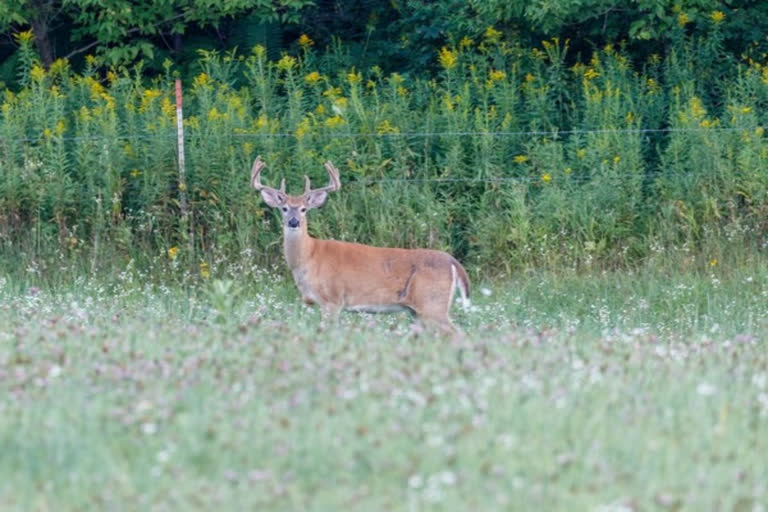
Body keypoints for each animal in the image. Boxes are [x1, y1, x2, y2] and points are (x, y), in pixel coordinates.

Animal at [250, 156, 470, 334]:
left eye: (304, 209)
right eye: (284, 208)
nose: (293, 222)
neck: (309, 256)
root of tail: (454, 263)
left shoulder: (332, 300)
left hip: (433, 304)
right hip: (418, 311)